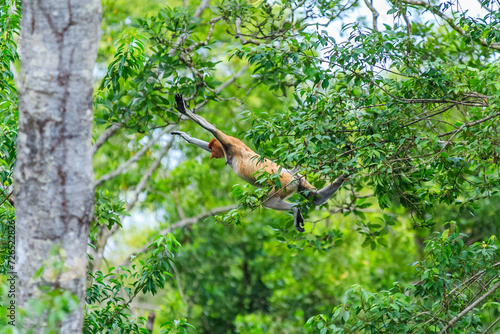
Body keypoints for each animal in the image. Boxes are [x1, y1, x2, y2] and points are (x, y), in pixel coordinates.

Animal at [171, 92, 344, 231]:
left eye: (213, 148)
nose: (212, 155)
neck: (228, 153)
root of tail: (290, 173)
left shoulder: (231, 144)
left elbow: (214, 130)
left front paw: (183, 108)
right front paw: (185, 136)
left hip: (283, 183)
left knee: (269, 201)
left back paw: (295, 211)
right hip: (299, 179)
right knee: (316, 198)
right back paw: (341, 179)